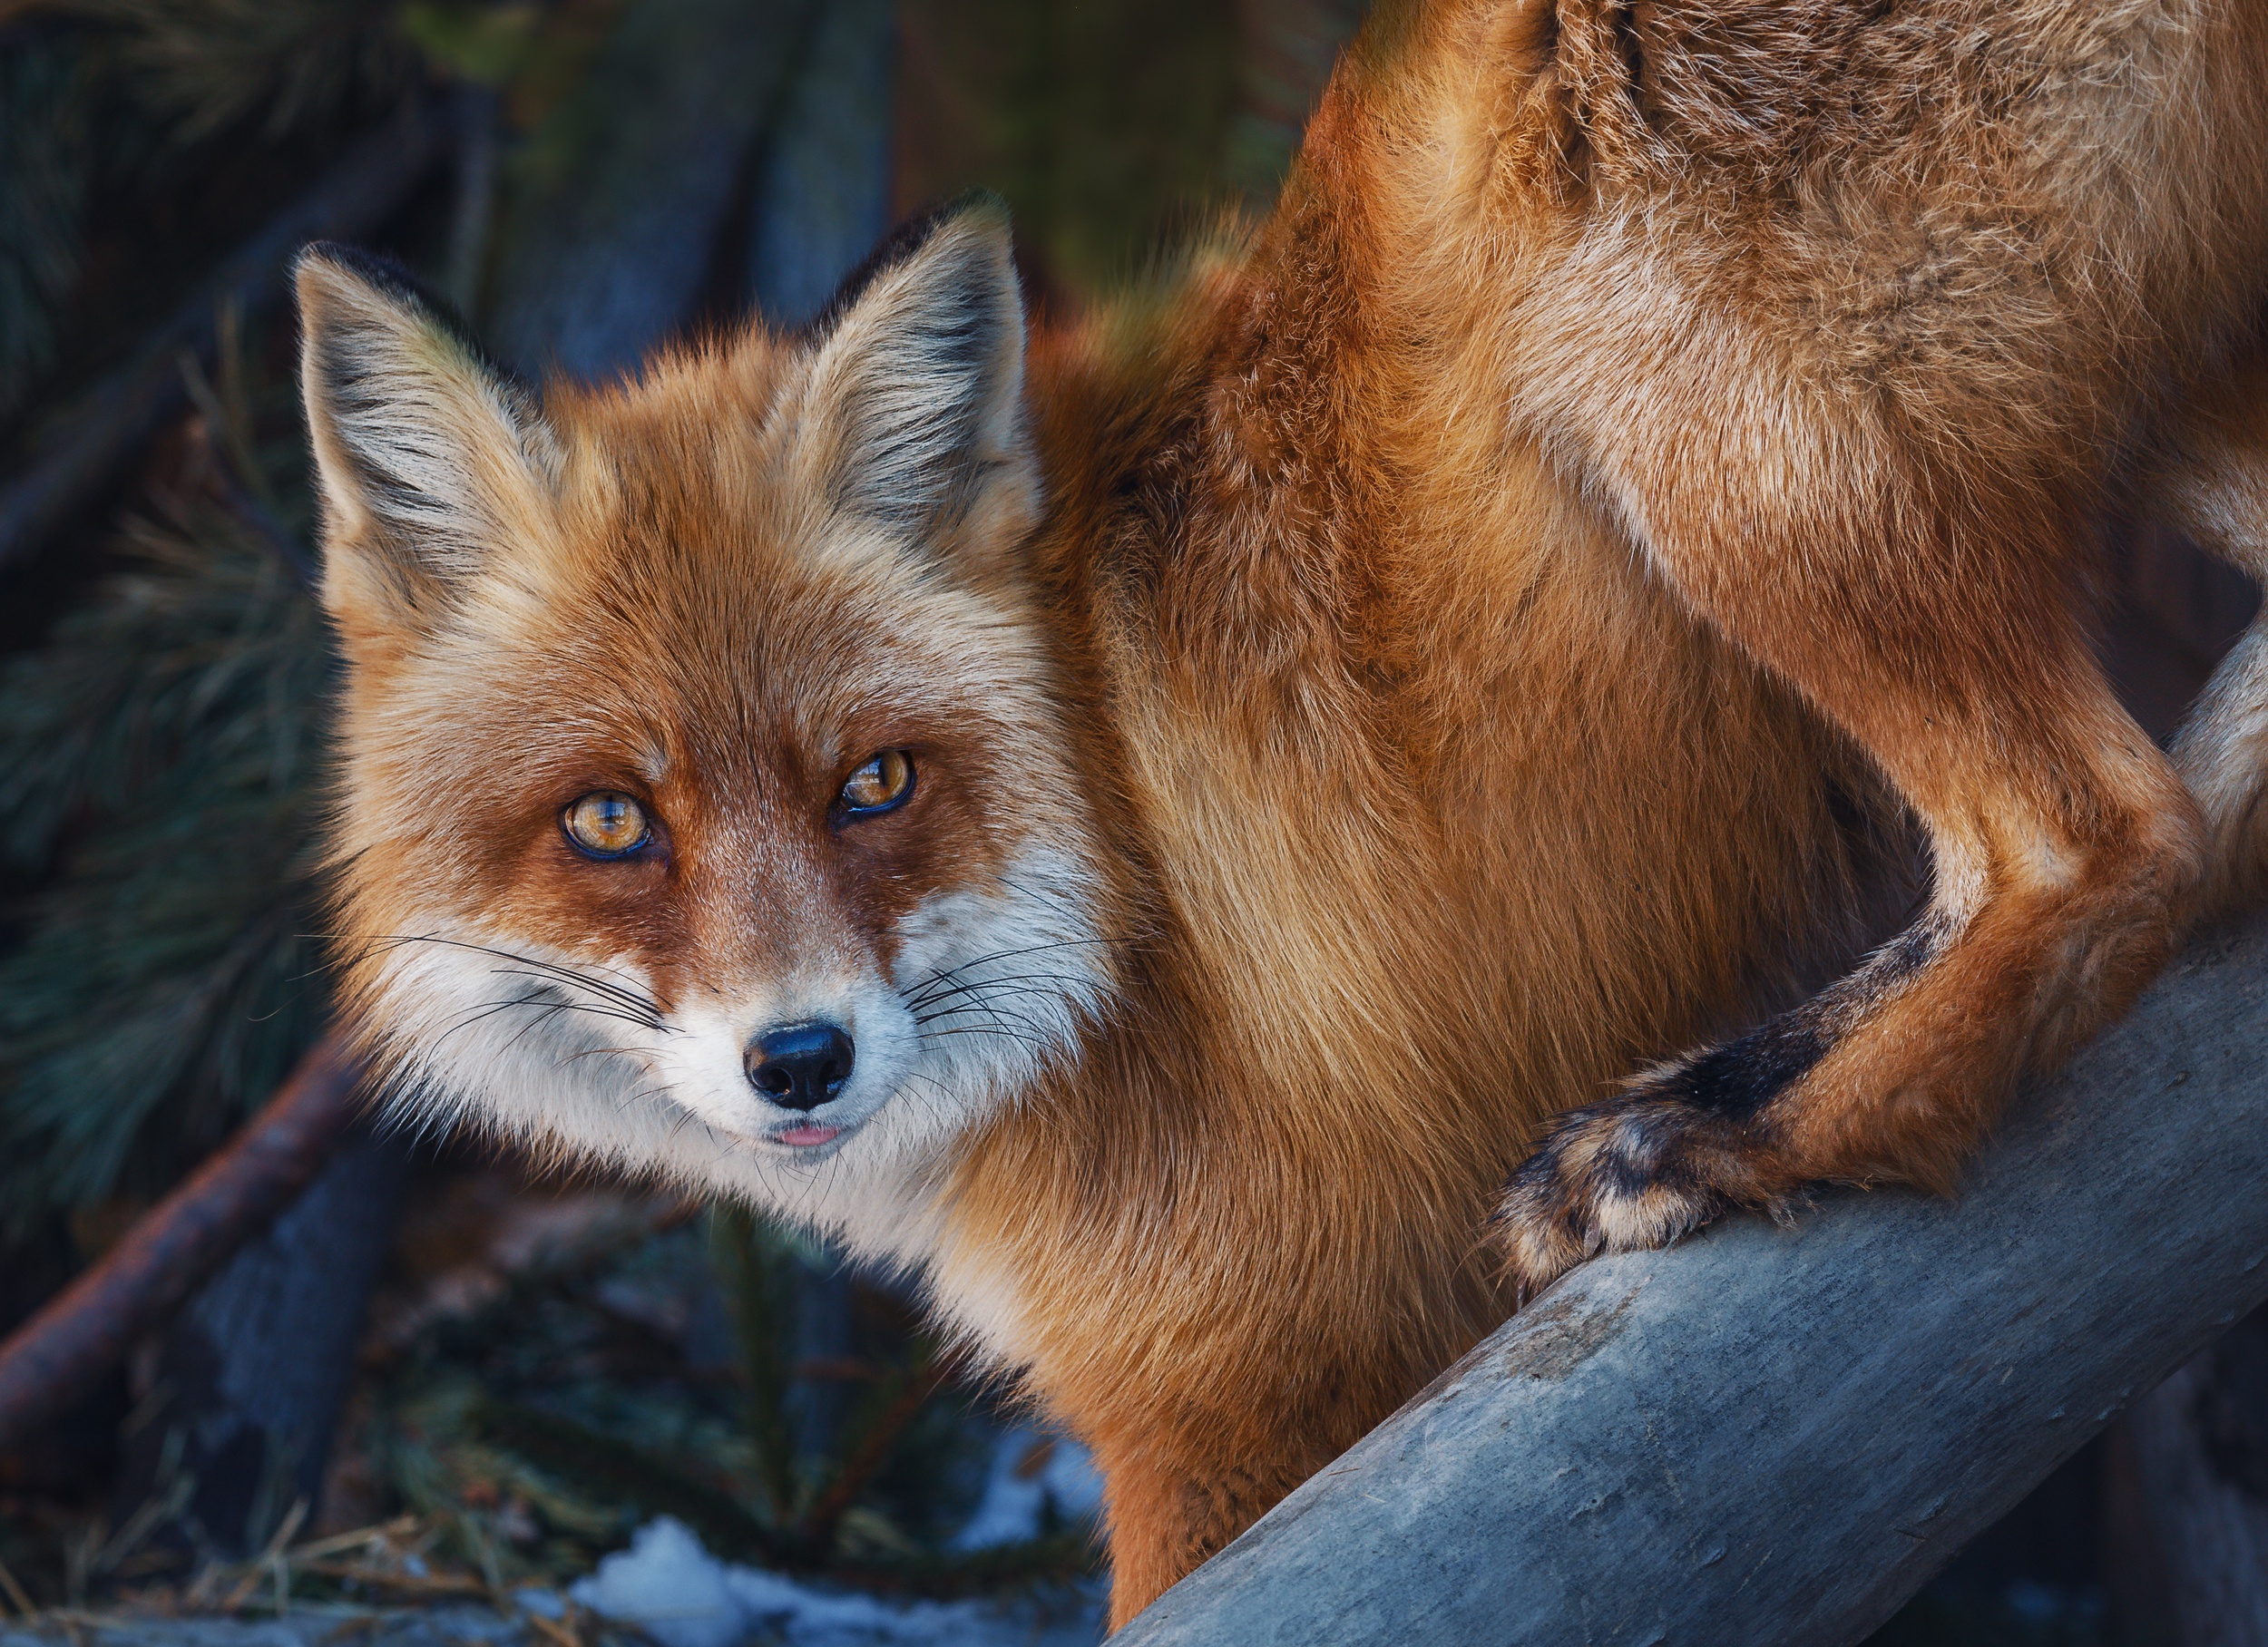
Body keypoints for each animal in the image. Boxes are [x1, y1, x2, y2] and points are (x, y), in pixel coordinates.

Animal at [296, 0, 2268, 1625]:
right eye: (609, 822)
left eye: (876, 782)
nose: (799, 1061)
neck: (1108, 863)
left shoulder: (1232, 1388)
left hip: (1660, 349)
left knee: (2109, 838)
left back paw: (1742, 1136)